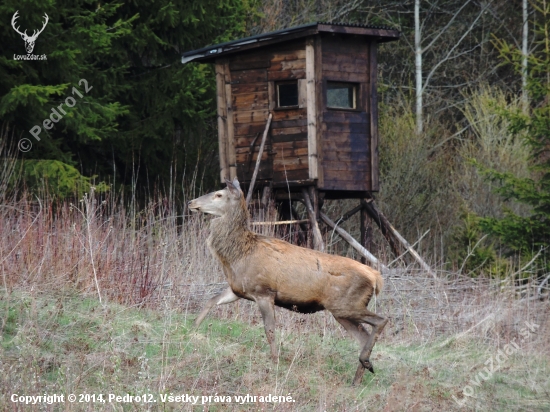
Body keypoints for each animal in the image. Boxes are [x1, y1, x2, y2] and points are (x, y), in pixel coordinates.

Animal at [190, 179, 388, 384]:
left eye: (219, 194)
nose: (191, 202)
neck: (238, 256)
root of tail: (376, 277)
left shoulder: (263, 291)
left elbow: (269, 330)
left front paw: (275, 361)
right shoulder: (238, 289)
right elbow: (211, 301)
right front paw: (191, 330)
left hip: (346, 304)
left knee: (381, 320)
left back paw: (365, 362)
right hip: (342, 312)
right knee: (363, 337)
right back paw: (359, 377)